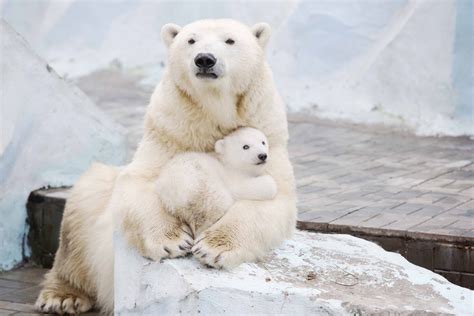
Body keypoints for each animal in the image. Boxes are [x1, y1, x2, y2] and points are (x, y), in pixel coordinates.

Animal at [36, 19, 296, 314]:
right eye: (191, 40)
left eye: (230, 40)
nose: (204, 59)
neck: (213, 114)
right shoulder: (169, 131)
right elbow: (141, 182)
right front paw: (173, 241)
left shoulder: (269, 134)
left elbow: (273, 198)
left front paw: (212, 248)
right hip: (92, 213)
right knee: (81, 216)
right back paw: (63, 296)